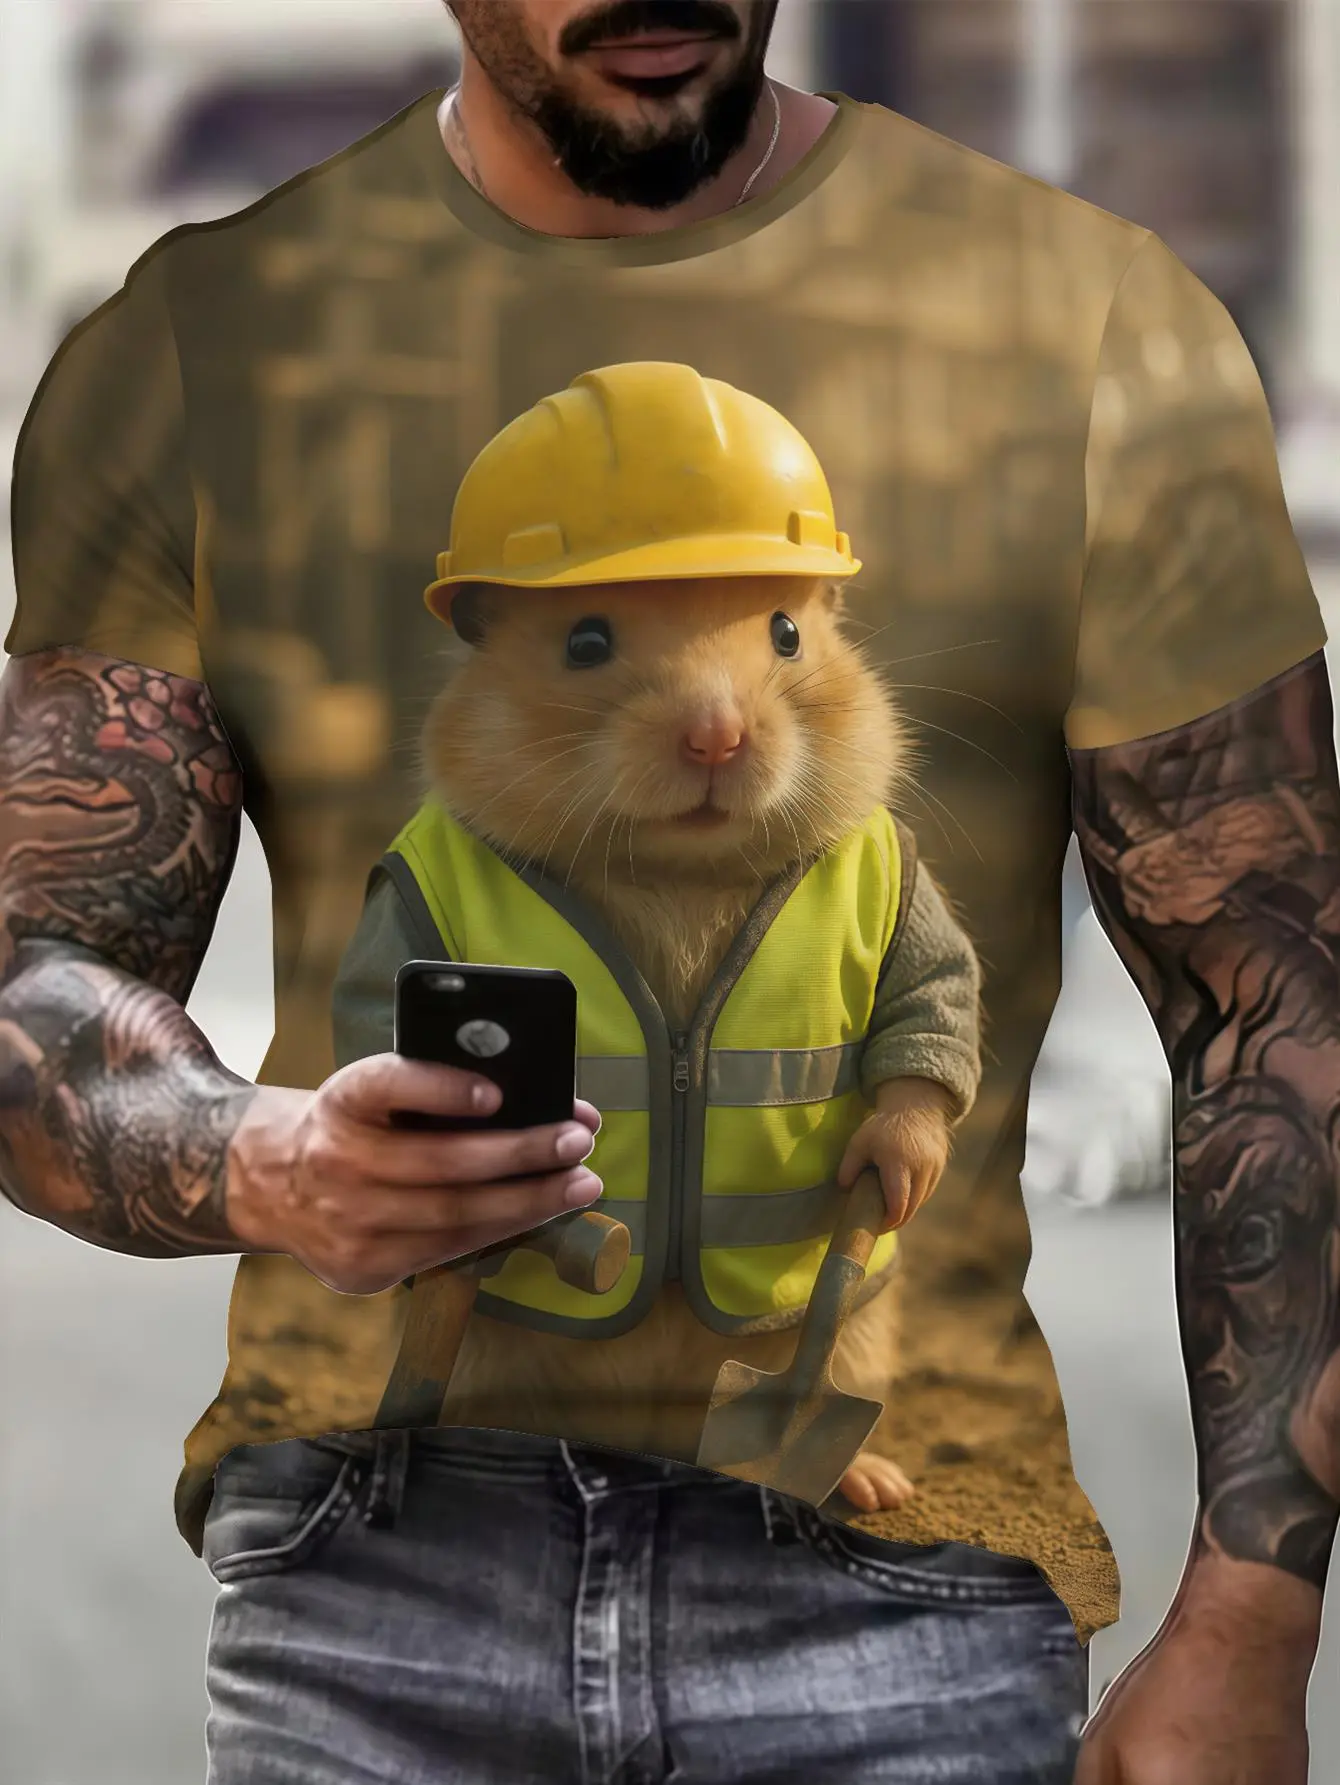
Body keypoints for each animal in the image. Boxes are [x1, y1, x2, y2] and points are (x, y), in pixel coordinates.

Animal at [420, 571, 940, 1512]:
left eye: (786, 634)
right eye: (585, 642)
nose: (716, 738)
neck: (681, 865)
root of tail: (652, 1431)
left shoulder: (908, 908)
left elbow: (926, 1023)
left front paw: (892, 1173)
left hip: (859, 1322)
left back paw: (876, 1485)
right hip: (485, 1346)